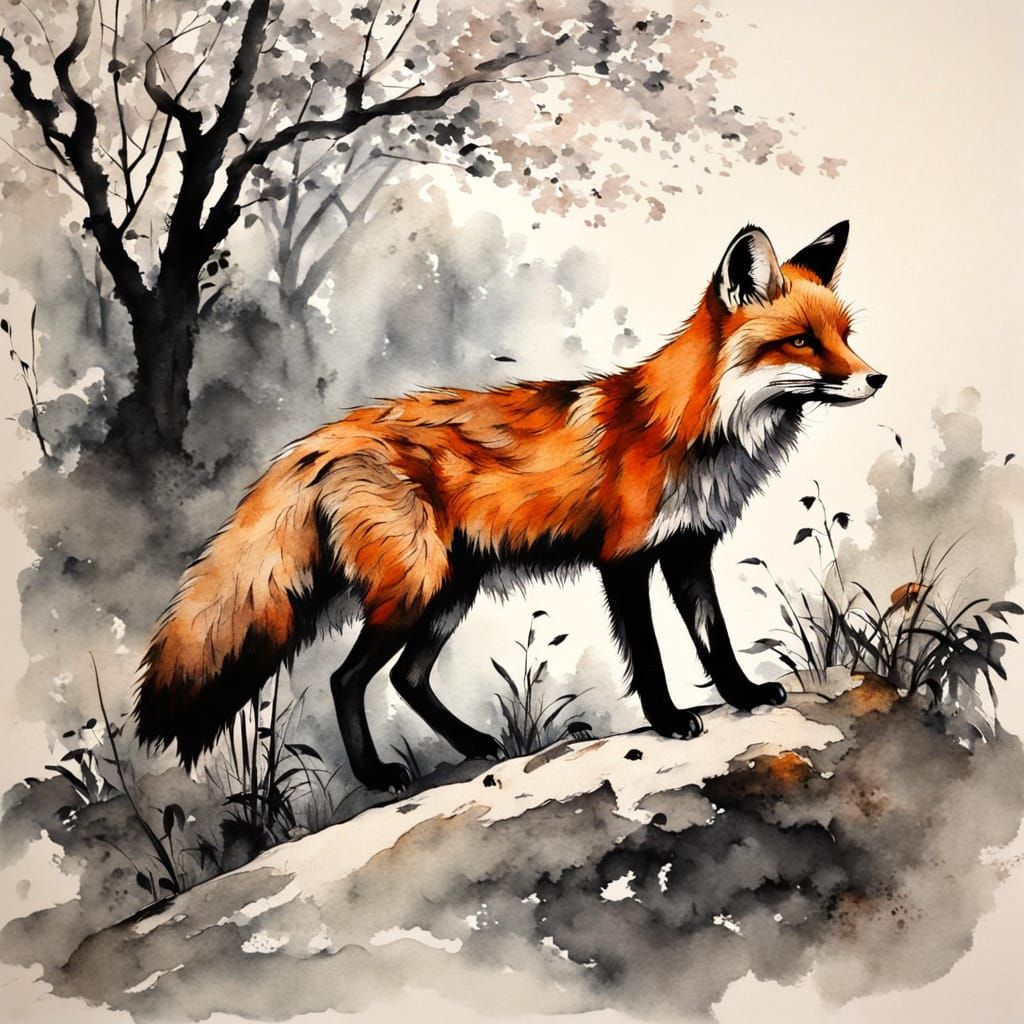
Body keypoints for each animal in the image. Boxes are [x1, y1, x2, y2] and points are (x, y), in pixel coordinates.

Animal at [135, 220, 884, 791]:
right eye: (802, 342)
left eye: (846, 336)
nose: (876, 377)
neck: (690, 427)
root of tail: (323, 437)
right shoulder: (623, 559)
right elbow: (648, 654)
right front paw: (670, 719)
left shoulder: (688, 550)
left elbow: (716, 639)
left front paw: (744, 696)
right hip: (414, 588)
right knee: (347, 680)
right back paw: (377, 776)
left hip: (448, 592)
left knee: (406, 678)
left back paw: (473, 745)